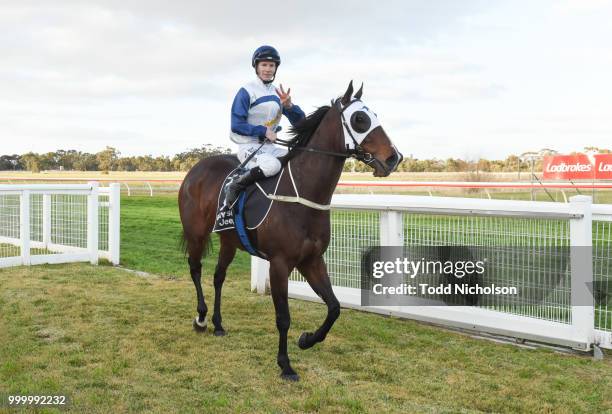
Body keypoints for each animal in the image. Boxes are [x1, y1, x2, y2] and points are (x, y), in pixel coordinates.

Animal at [178, 81, 402, 382]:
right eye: (359, 119)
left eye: (373, 115)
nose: (393, 158)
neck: (304, 195)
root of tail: (195, 169)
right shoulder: (280, 263)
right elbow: (283, 317)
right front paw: (285, 365)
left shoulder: (312, 260)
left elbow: (334, 307)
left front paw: (307, 340)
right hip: (196, 234)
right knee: (195, 269)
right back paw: (201, 318)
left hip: (229, 240)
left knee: (218, 276)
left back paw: (218, 323)